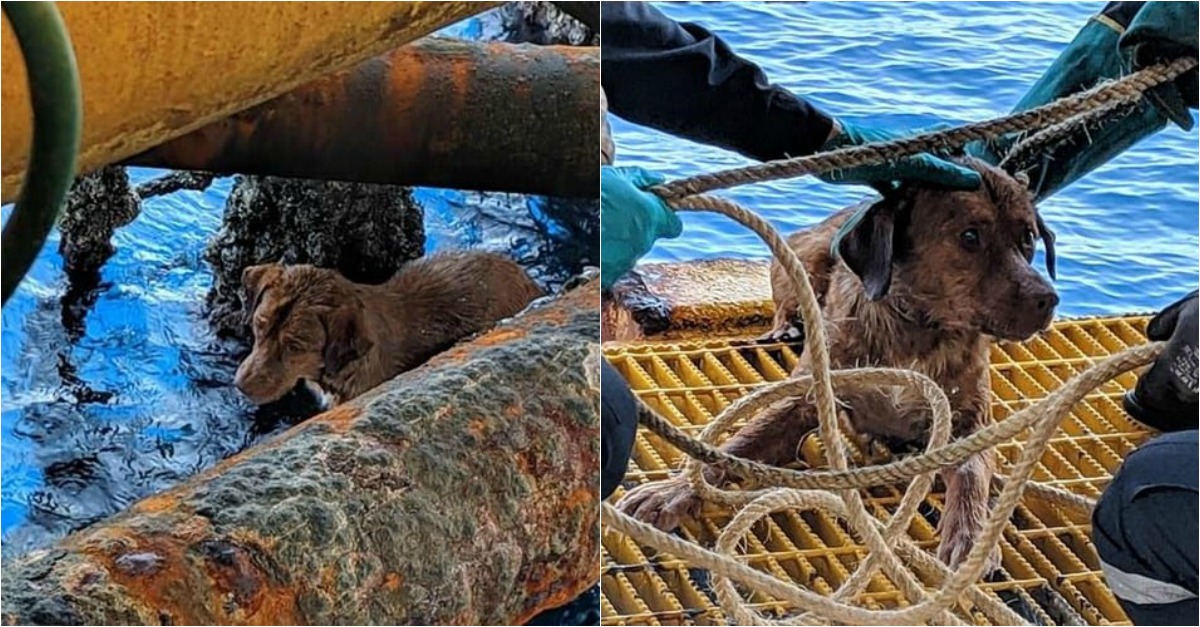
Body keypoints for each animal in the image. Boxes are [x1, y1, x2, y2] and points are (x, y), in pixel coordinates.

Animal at [619, 158, 1060, 569]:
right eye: (970, 236)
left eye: (1028, 238)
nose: (1048, 299)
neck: (916, 327)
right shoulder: (804, 399)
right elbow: (734, 445)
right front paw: (673, 491)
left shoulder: (971, 423)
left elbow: (970, 476)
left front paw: (970, 537)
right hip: (805, 256)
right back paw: (787, 327)